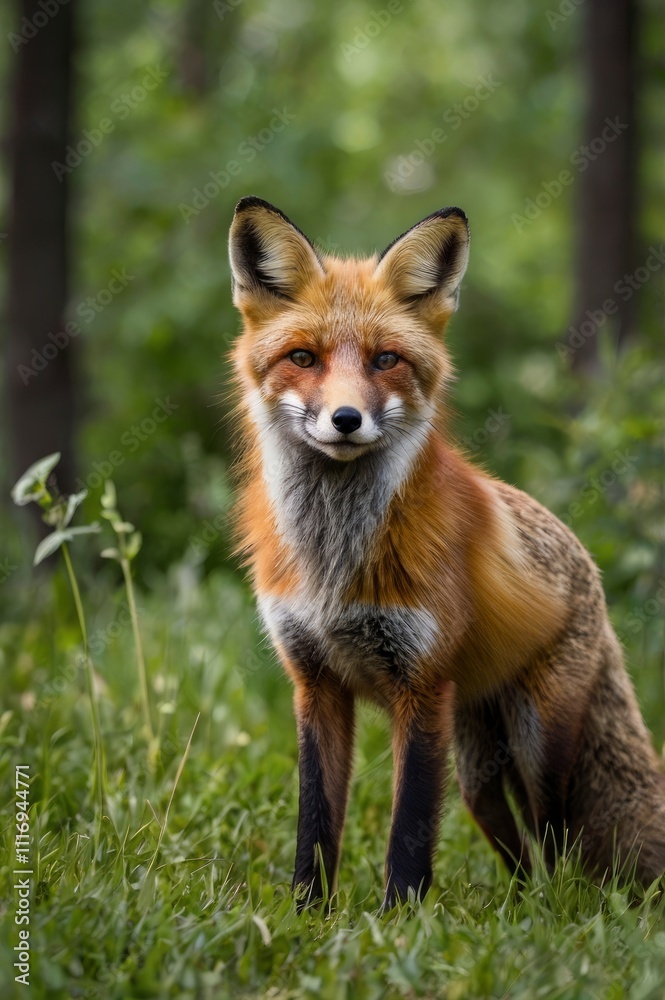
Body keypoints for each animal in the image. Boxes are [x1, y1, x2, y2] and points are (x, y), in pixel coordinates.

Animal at [228, 195, 665, 909]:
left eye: (385, 360)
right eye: (303, 357)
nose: (345, 419)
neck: (334, 559)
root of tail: (590, 572)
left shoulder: (422, 685)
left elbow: (409, 826)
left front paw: (399, 916)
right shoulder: (315, 683)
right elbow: (315, 819)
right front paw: (307, 913)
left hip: (537, 747)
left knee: (556, 839)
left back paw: (556, 910)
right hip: (477, 774)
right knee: (519, 850)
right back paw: (521, 905)